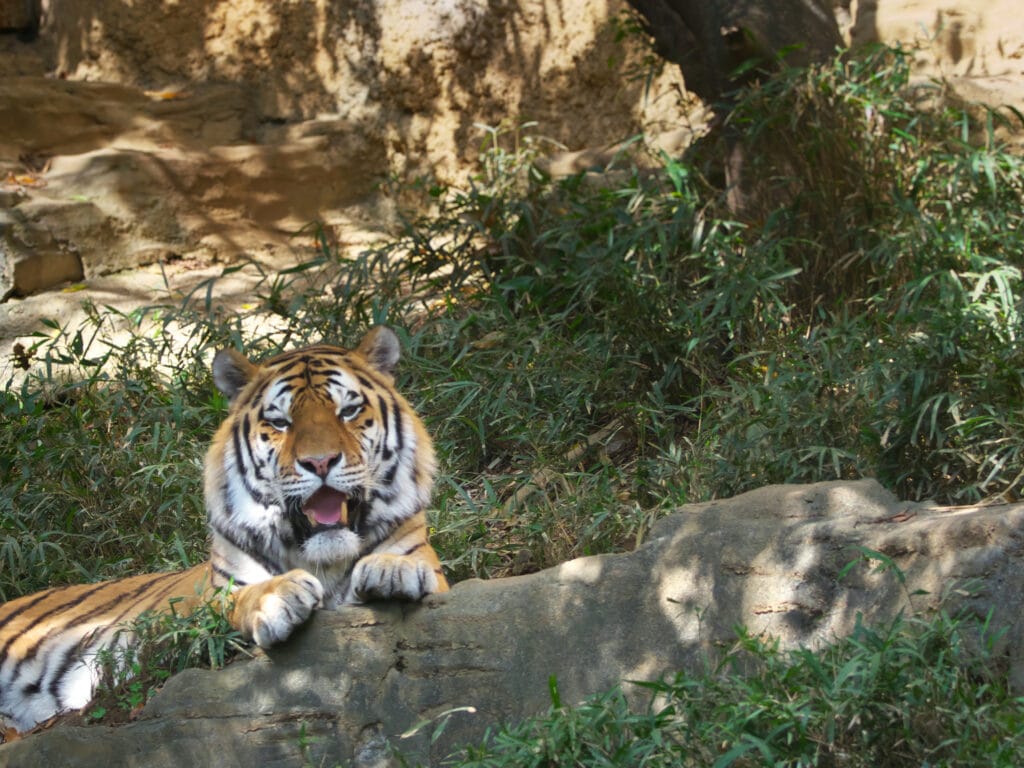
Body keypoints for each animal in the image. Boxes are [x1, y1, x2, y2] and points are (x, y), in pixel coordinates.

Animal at [0, 327, 448, 737]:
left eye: (348, 412)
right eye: (279, 422)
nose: (320, 462)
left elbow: (414, 565)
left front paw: (392, 569)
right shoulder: (201, 606)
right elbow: (237, 600)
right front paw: (279, 597)